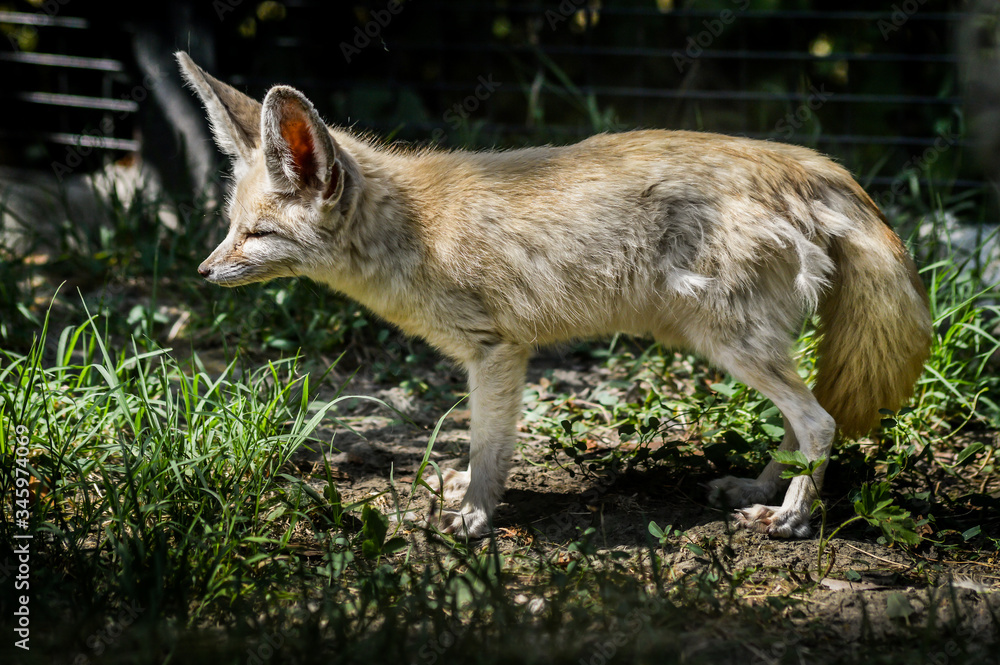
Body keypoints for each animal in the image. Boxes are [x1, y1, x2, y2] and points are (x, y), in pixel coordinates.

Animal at [177, 52, 932, 539]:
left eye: (259, 234)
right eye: (231, 227)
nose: (203, 273)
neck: (417, 231)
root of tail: (815, 164)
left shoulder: (497, 353)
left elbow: (489, 448)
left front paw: (476, 519)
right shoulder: (495, 357)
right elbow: (484, 448)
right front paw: (465, 495)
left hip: (731, 346)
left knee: (820, 422)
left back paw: (792, 519)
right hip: (732, 346)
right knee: (803, 421)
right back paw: (758, 488)